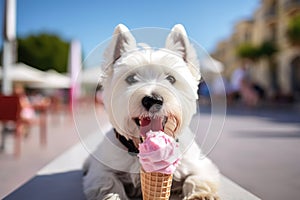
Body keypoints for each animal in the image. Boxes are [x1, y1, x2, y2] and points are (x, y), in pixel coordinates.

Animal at [83, 24, 219, 199]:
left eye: (171, 79)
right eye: (131, 79)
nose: (152, 100)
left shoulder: (200, 164)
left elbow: (196, 178)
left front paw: (200, 195)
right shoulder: (100, 170)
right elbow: (109, 183)